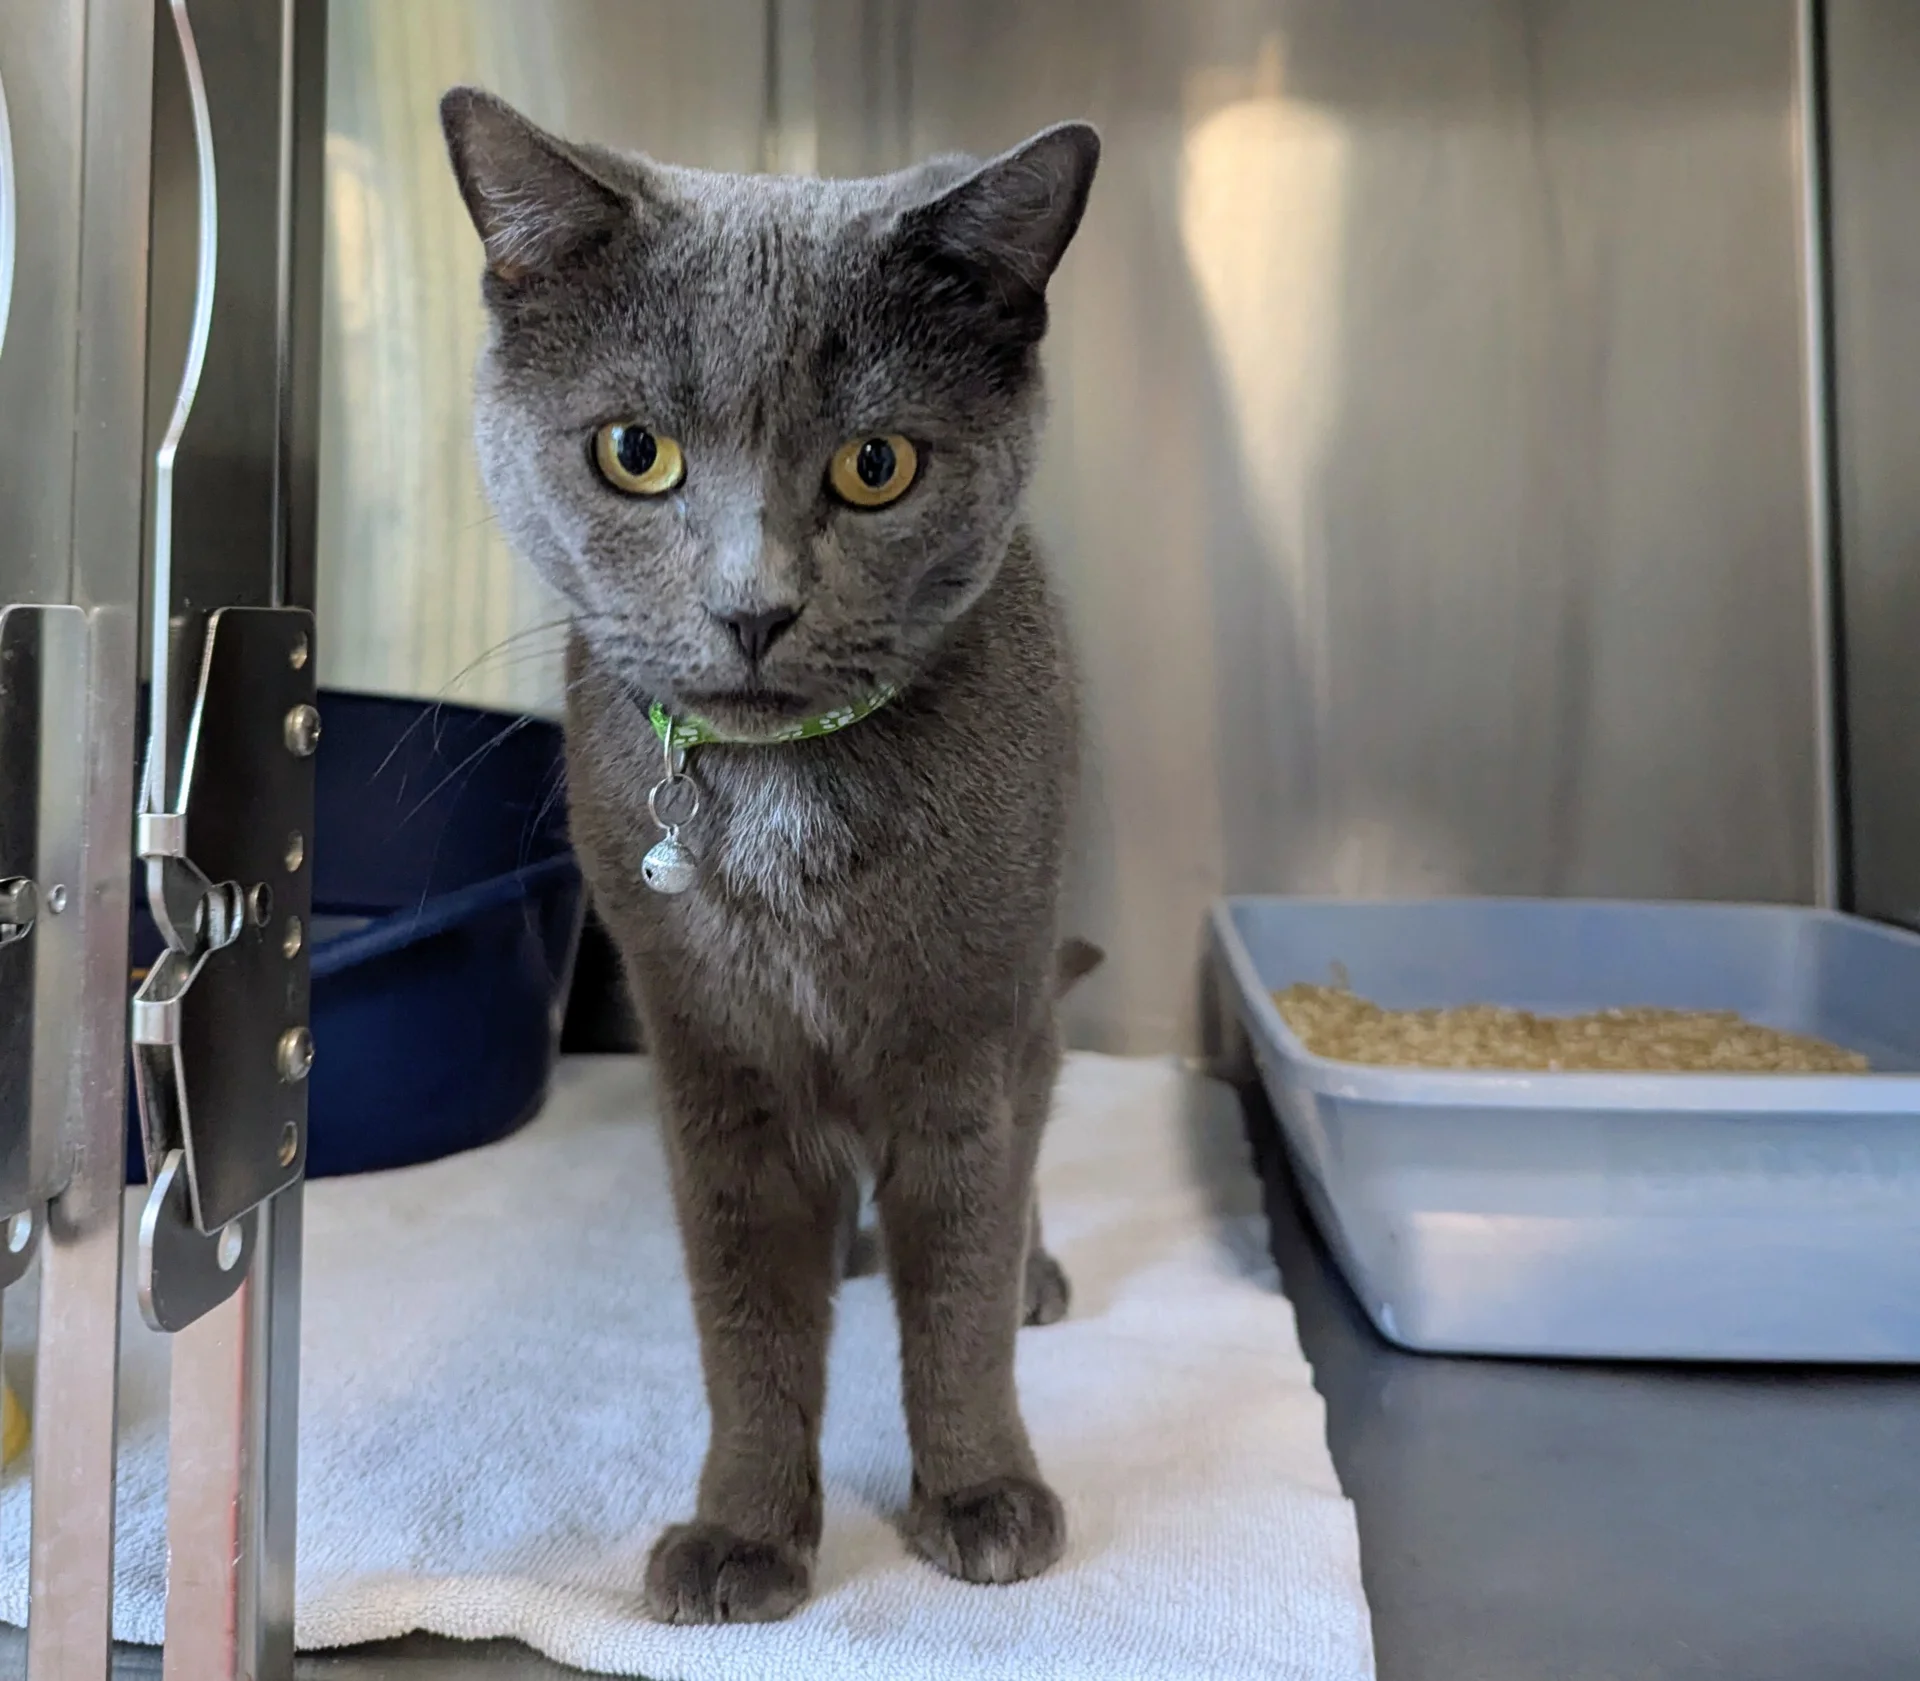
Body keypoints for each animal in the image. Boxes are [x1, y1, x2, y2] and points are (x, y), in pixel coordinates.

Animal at [440, 88, 1100, 1624]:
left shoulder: (973, 1040)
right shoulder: (708, 1059)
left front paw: (981, 1495)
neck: (781, 800)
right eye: (634, 452)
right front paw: (743, 1534)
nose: (753, 610)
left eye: (877, 465)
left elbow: (962, 1294)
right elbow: (745, 1320)